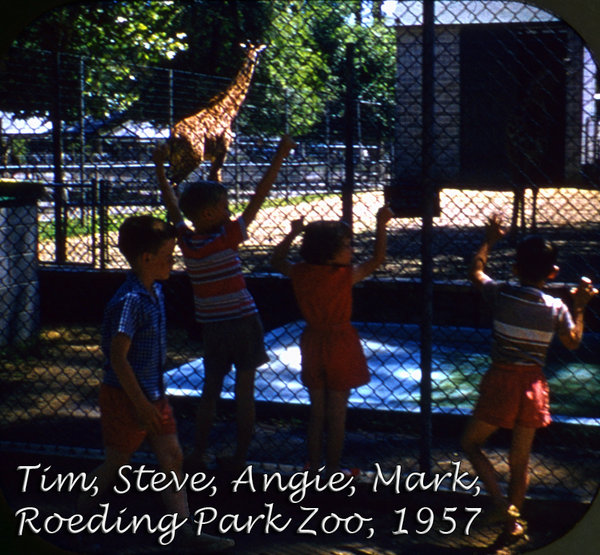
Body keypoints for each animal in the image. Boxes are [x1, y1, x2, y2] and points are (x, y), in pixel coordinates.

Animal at [158, 42, 266, 185]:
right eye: (258, 53)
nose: (254, 61)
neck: (228, 110)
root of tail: (174, 136)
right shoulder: (222, 151)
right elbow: (216, 179)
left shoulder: (213, 156)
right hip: (193, 159)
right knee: (174, 182)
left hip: (175, 161)